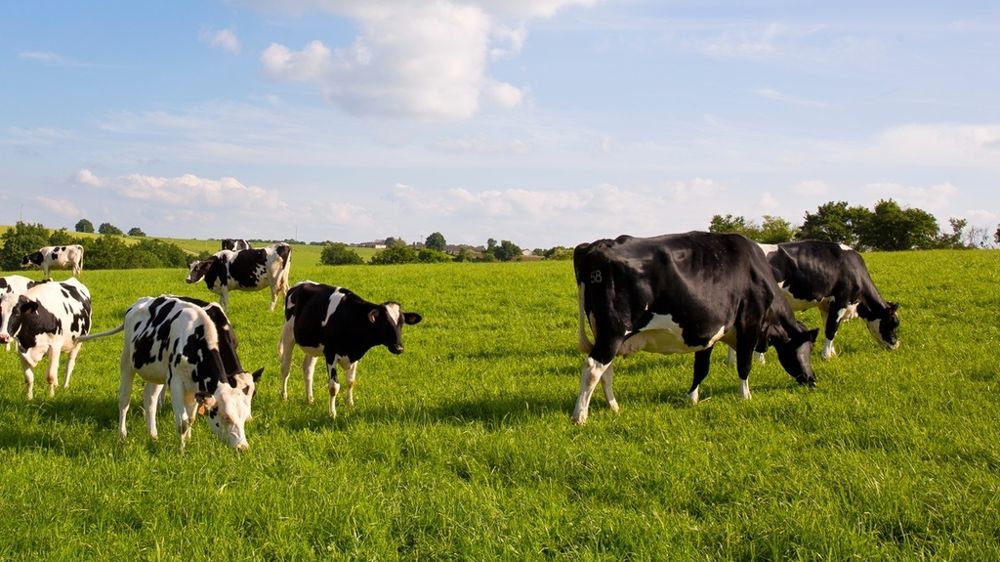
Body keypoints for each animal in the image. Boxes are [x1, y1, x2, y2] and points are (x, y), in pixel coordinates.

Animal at [78, 295, 263, 450]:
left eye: (243, 418)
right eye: (226, 417)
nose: (243, 448)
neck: (196, 340)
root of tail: (138, 303)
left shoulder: (195, 386)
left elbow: (191, 417)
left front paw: (188, 440)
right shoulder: (175, 382)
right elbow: (182, 421)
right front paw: (181, 450)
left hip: (155, 372)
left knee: (150, 400)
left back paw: (153, 435)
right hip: (126, 362)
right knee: (124, 400)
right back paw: (122, 435)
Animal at [278, 281, 422, 418]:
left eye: (402, 323)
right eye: (385, 322)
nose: (399, 348)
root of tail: (300, 284)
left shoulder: (355, 355)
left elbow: (351, 381)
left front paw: (350, 404)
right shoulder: (330, 354)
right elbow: (334, 386)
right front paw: (332, 413)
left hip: (313, 345)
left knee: (308, 369)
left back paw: (310, 399)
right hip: (288, 334)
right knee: (285, 368)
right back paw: (284, 397)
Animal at [572, 232, 818, 425]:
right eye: (805, 350)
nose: (812, 379)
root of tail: (598, 245)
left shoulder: (707, 332)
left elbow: (701, 367)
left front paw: (692, 399)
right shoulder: (750, 323)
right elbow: (744, 365)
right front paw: (745, 396)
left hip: (607, 334)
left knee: (606, 370)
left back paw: (614, 407)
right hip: (613, 332)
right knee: (593, 368)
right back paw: (580, 416)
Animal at [764, 240, 900, 359]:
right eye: (894, 323)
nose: (896, 345)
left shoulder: (825, 306)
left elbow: (827, 327)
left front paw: (832, 354)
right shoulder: (840, 301)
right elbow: (831, 329)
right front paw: (827, 357)